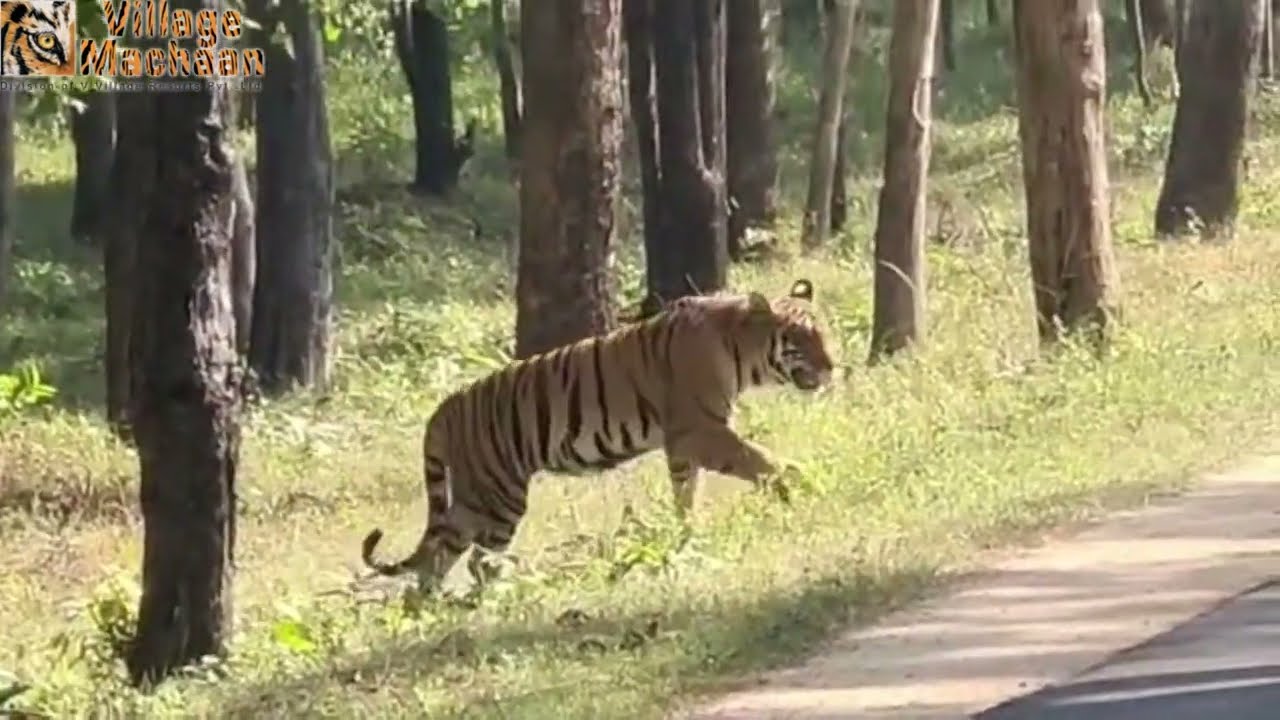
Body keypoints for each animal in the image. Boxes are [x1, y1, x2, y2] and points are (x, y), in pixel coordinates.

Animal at [361, 278, 836, 595]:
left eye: (825, 333)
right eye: (802, 338)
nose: (833, 366)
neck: (741, 351)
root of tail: (442, 408)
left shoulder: (684, 445)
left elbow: (686, 494)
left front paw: (686, 536)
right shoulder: (701, 431)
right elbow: (762, 459)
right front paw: (801, 485)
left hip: (476, 498)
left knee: (439, 556)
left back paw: (432, 606)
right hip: (497, 499)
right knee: (477, 560)